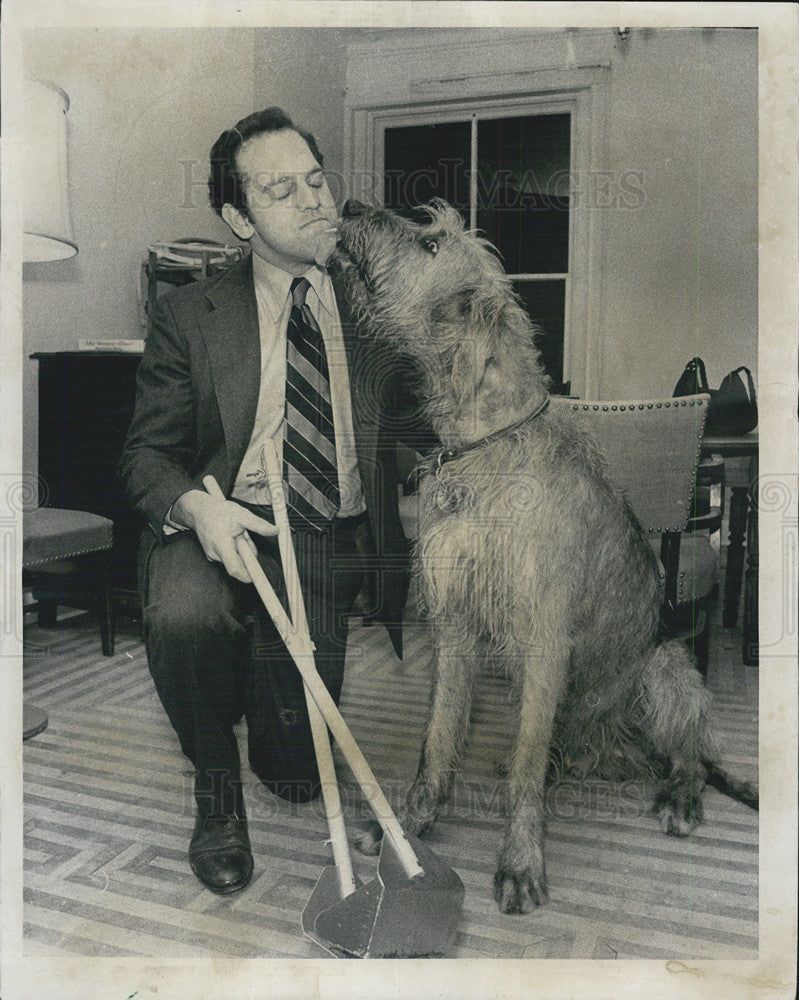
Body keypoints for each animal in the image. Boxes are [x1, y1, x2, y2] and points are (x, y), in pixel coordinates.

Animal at [334, 197, 760, 916]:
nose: (349, 205)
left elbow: (526, 767)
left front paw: (519, 860)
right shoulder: (453, 626)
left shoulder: (543, 638)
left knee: (689, 754)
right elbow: (436, 739)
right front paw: (413, 825)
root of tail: (615, 749)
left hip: (664, 668)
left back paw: (677, 795)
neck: (482, 443)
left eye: (429, 244)